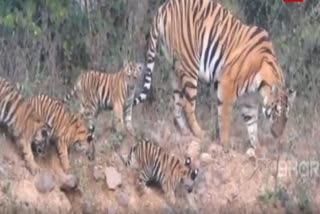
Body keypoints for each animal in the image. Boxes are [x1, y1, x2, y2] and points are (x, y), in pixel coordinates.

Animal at [132, 0, 296, 153]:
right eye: (276, 112)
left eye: (286, 116)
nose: (277, 134)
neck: (260, 88)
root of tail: (164, 7)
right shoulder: (227, 84)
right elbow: (224, 118)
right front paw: (225, 144)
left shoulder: (249, 100)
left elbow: (252, 125)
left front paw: (258, 148)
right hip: (190, 67)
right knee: (188, 105)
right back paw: (199, 133)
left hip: (175, 70)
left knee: (176, 104)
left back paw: (185, 132)